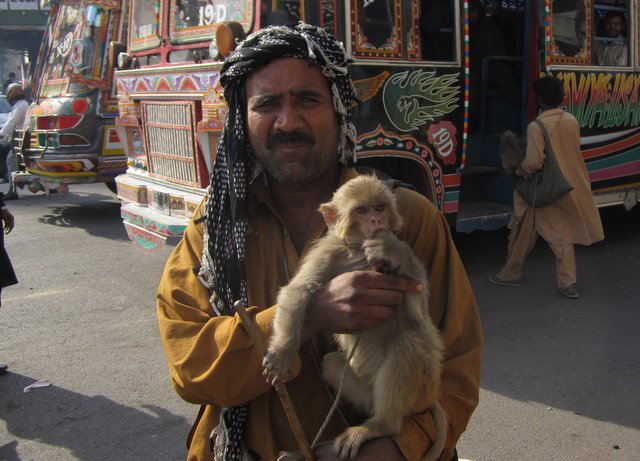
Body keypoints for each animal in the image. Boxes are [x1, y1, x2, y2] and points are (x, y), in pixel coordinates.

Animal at [262, 175, 447, 461]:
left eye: (380, 207)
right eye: (362, 210)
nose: (376, 221)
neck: (359, 251)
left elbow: (419, 315)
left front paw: (393, 249)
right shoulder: (328, 252)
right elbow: (298, 291)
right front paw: (283, 351)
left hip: (424, 384)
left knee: (407, 341)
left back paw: (380, 425)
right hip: (366, 391)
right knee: (331, 363)